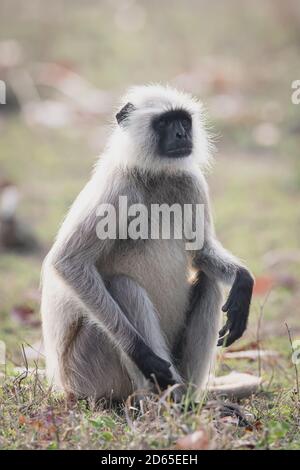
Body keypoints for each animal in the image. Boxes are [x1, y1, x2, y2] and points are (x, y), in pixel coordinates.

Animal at [41, 84, 253, 400]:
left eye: (183, 121)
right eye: (164, 123)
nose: (182, 135)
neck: (155, 175)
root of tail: (64, 385)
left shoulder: (190, 182)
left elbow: (201, 253)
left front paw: (243, 281)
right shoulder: (118, 189)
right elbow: (68, 262)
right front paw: (142, 354)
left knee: (208, 281)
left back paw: (186, 400)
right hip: (87, 370)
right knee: (124, 287)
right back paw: (161, 401)